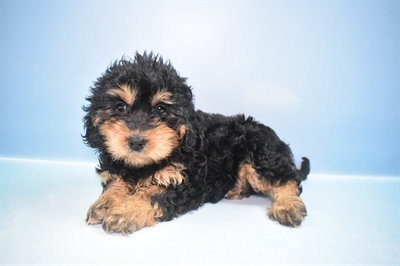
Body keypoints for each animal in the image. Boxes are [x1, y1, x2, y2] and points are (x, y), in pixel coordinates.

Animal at [83, 52, 310, 235]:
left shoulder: (185, 181)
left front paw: (125, 211)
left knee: (287, 180)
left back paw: (288, 207)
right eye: (120, 107)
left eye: (161, 109)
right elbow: (116, 182)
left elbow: (154, 195)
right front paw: (104, 204)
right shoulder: (118, 168)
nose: (136, 142)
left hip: (260, 154)